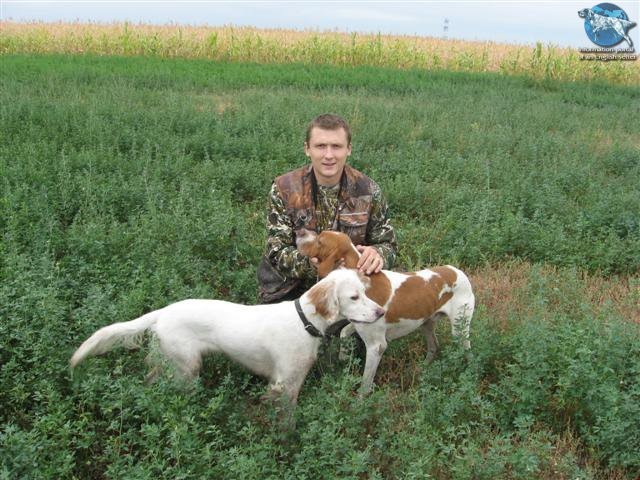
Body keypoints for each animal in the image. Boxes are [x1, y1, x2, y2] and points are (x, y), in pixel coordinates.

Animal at [70, 268, 385, 409]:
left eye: (365, 292)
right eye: (353, 297)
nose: (381, 311)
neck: (304, 320)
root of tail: (163, 312)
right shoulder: (285, 384)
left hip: (171, 363)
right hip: (187, 367)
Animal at [296, 230, 474, 394]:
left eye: (320, 240)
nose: (300, 232)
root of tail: (458, 272)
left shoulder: (377, 346)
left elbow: (365, 385)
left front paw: (360, 403)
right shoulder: (360, 322)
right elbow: (344, 333)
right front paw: (344, 358)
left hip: (459, 329)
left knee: (467, 351)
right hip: (427, 323)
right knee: (434, 347)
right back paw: (422, 369)